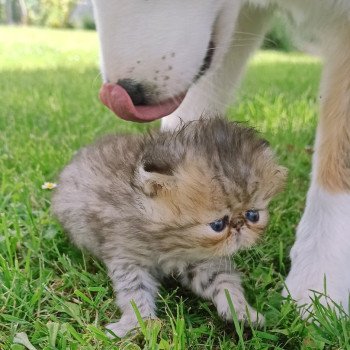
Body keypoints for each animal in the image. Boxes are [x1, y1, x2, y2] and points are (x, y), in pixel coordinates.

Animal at [52, 117, 288, 336]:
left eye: (253, 215)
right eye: (218, 225)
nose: (239, 225)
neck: (171, 243)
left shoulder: (201, 260)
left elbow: (223, 281)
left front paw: (241, 311)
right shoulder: (127, 256)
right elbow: (134, 292)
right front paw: (136, 323)